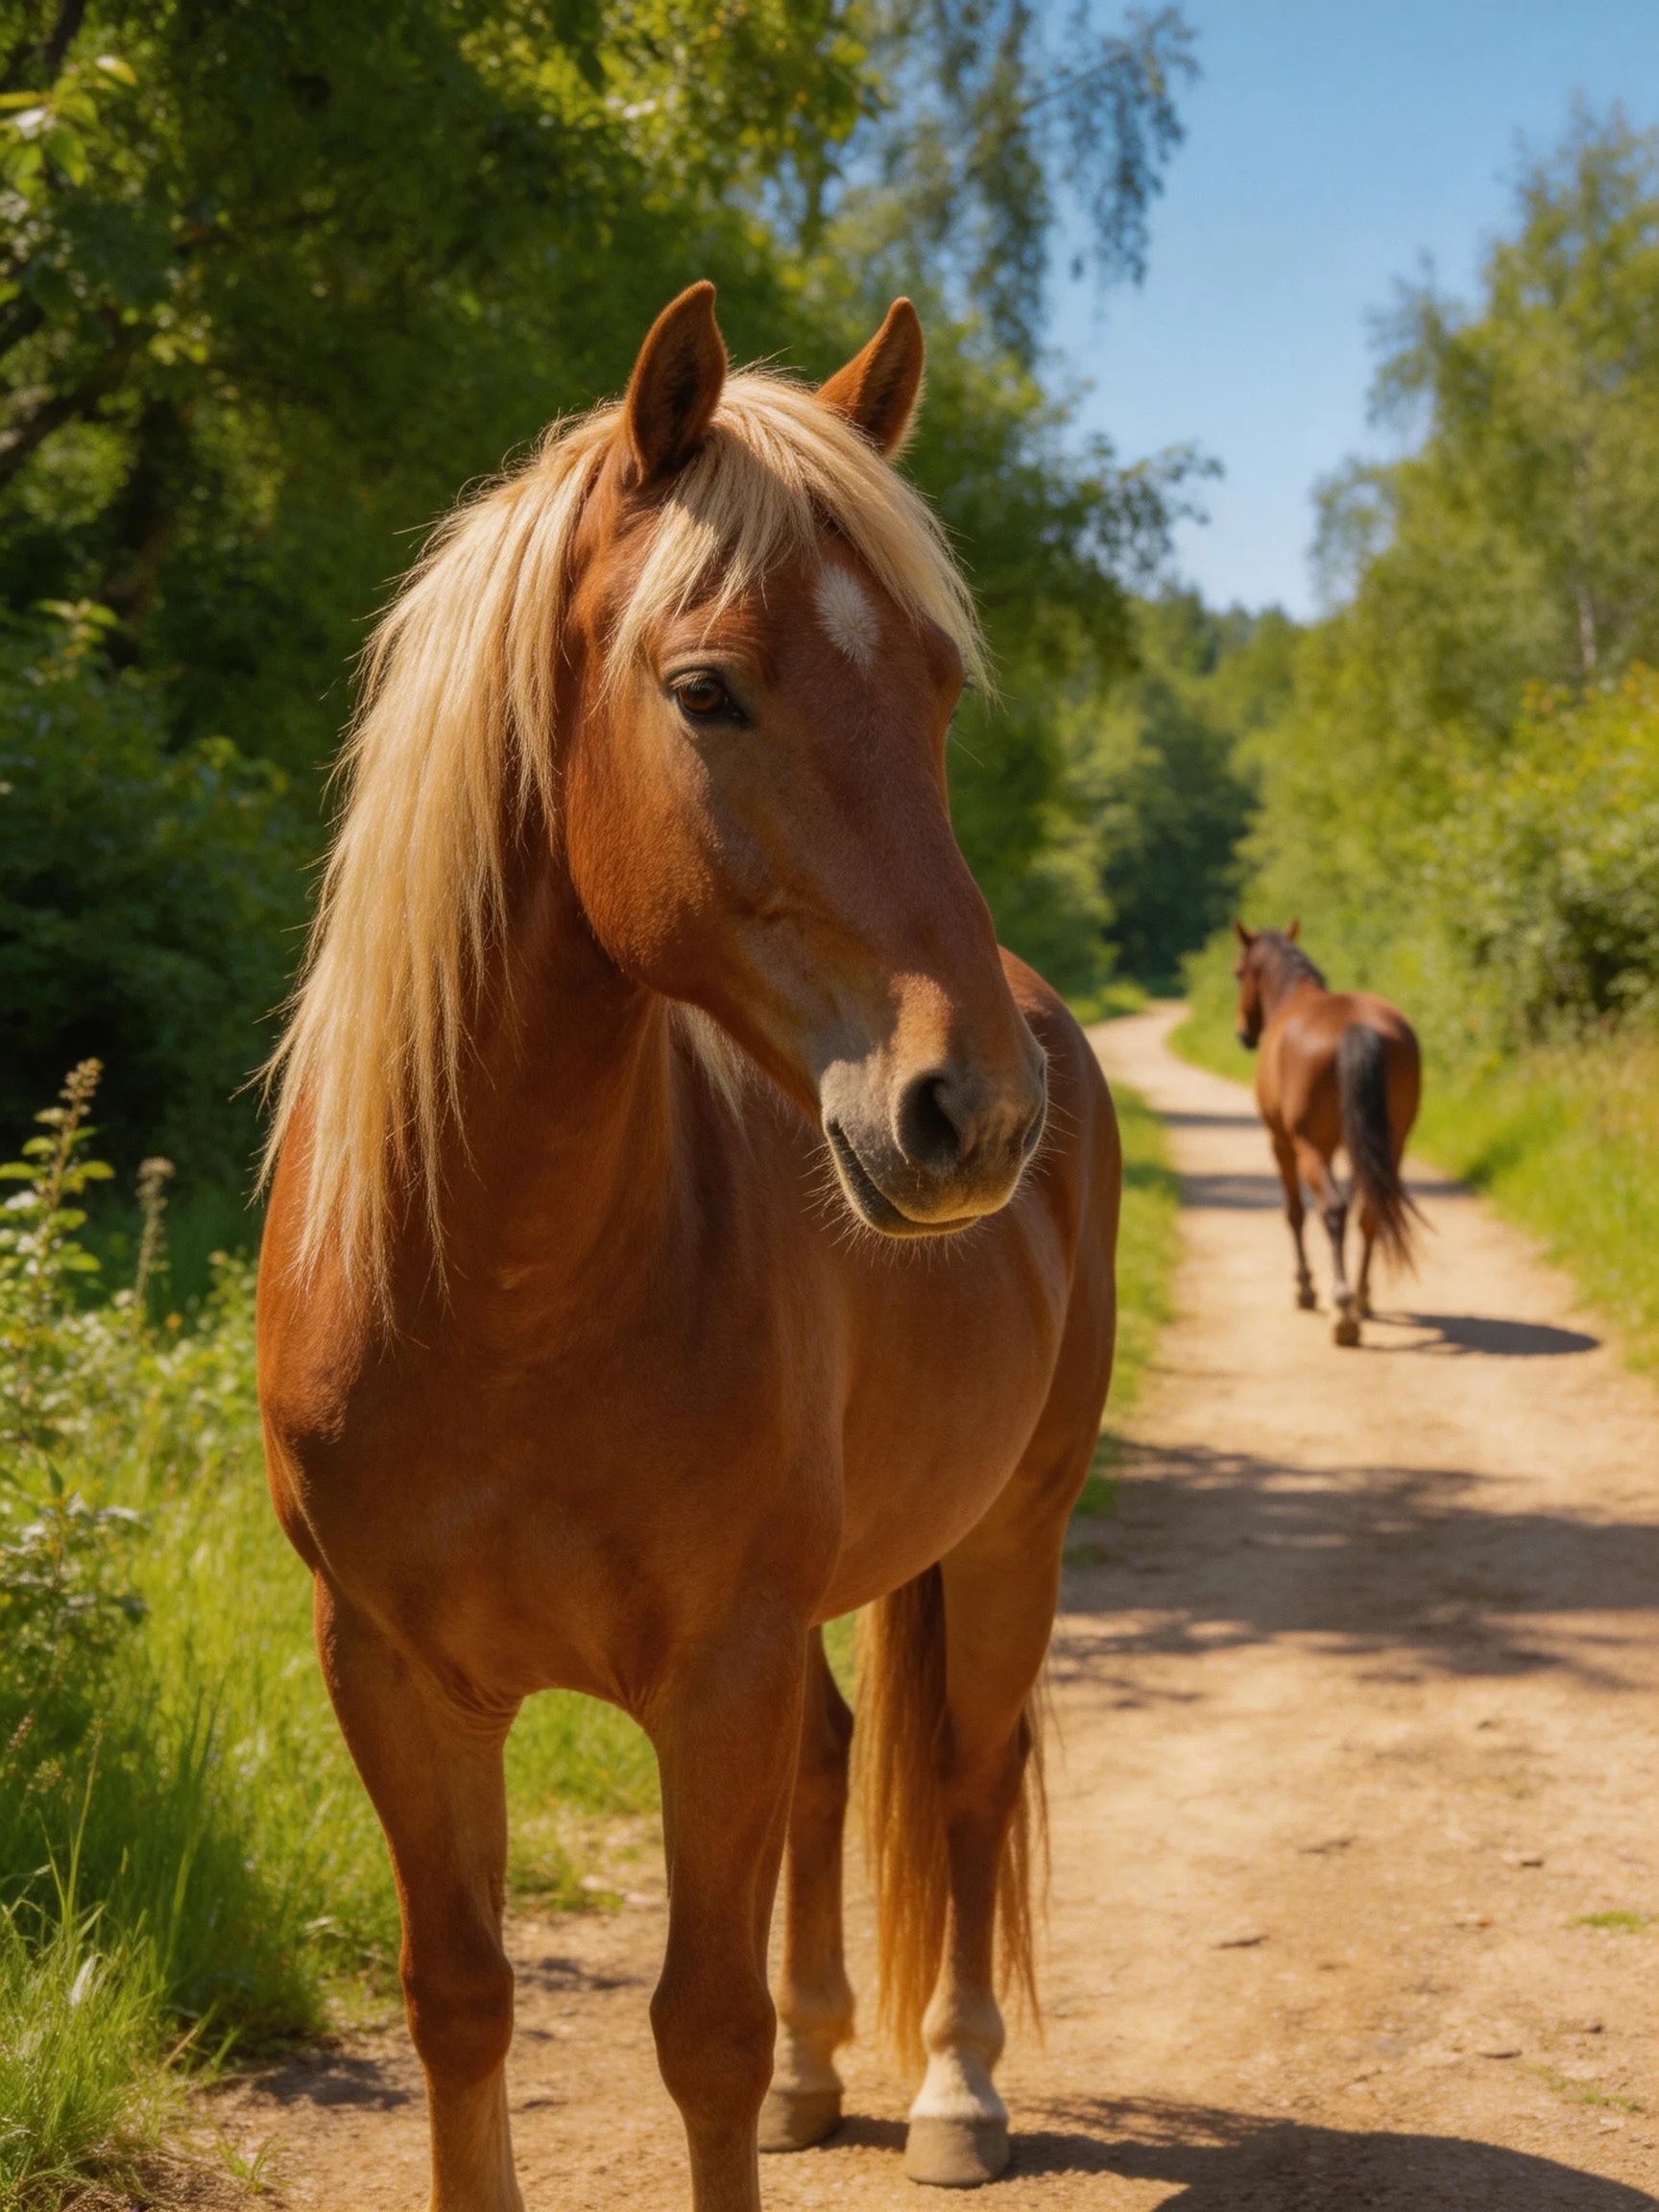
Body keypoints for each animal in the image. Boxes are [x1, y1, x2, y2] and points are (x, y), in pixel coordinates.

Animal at [257, 281, 1119, 2212]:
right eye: (706, 690)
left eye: (935, 687)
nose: (970, 1111)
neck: (501, 1298)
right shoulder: (393, 1676)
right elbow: (460, 2001)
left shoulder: (713, 1670)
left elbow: (697, 2033)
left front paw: (801, 2066)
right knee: (838, 1761)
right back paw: (824, 2069)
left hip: (1011, 1529)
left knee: (964, 1773)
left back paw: (953, 2089)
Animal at [1231, 921, 1421, 1347]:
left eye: (1237, 973)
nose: (1243, 1034)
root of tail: (1358, 1027)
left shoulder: (1282, 1144)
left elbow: (1295, 1212)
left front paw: (1305, 1289)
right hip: (1392, 1145)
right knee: (1372, 1212)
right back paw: (1362, 1298)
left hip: (1311, 1149)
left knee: (1333, 1210)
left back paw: (1343, 1310)